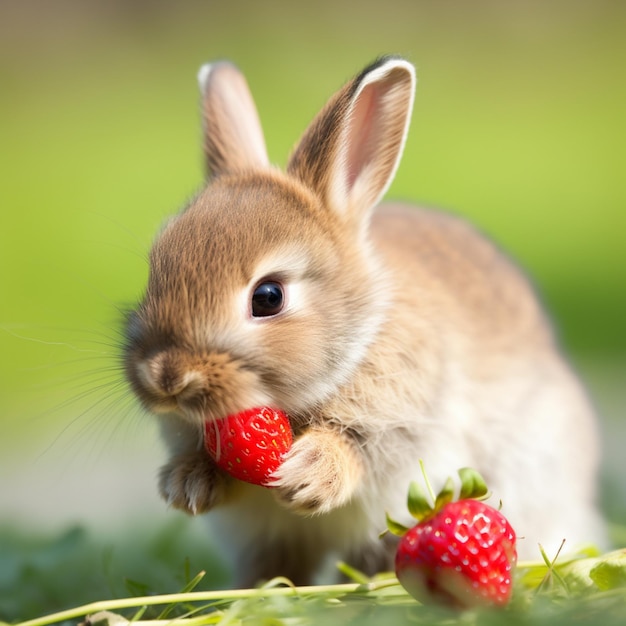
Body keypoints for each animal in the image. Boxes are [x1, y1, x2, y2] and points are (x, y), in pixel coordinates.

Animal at [123, 54, 604, 584]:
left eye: (268, 297)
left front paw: (304, 477)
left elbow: (355, 452)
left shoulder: (400, 432)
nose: (166, 377)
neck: (358, 337)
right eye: (154, 271)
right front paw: (186, 485)